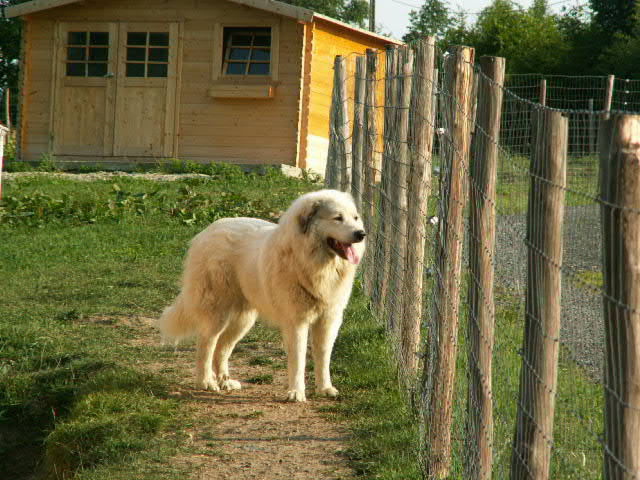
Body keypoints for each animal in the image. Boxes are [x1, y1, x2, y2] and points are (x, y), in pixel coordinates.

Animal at [159, 188, 364, 402]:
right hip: (217, 314)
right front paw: (296, 392)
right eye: (337, 218)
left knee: (222, 348)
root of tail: (207, 231)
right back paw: (206, 381)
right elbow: (298, 359)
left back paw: (225, 381)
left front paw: (325, 388)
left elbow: (323, 356)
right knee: (206, 344)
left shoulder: (329, 320)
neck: (312, 263)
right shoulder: (296, 322)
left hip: (242, 320)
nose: (361, 234)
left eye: (355, 218)